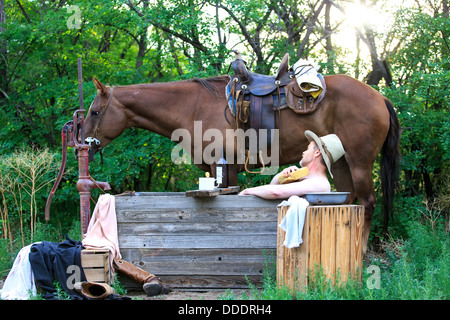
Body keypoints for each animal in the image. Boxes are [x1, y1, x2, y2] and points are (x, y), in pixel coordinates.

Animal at [82, 71, 400, 254]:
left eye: (96, 112)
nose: (82, 140)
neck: (193, 106)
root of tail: (380, 97)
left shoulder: (226, 165)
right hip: (343, 163)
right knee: (351, 199)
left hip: (359, 162)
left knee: (368, 202)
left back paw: (361, 251)